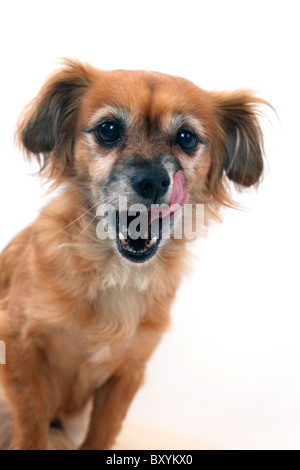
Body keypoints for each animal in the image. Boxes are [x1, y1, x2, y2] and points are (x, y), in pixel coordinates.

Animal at [0, 60, 268, 450]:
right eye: (108, 130)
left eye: (186, 137)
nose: (153, 180)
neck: (117, 273)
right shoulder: (16, 339)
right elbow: (32, 421)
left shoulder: (128, 371)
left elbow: (103, 432)